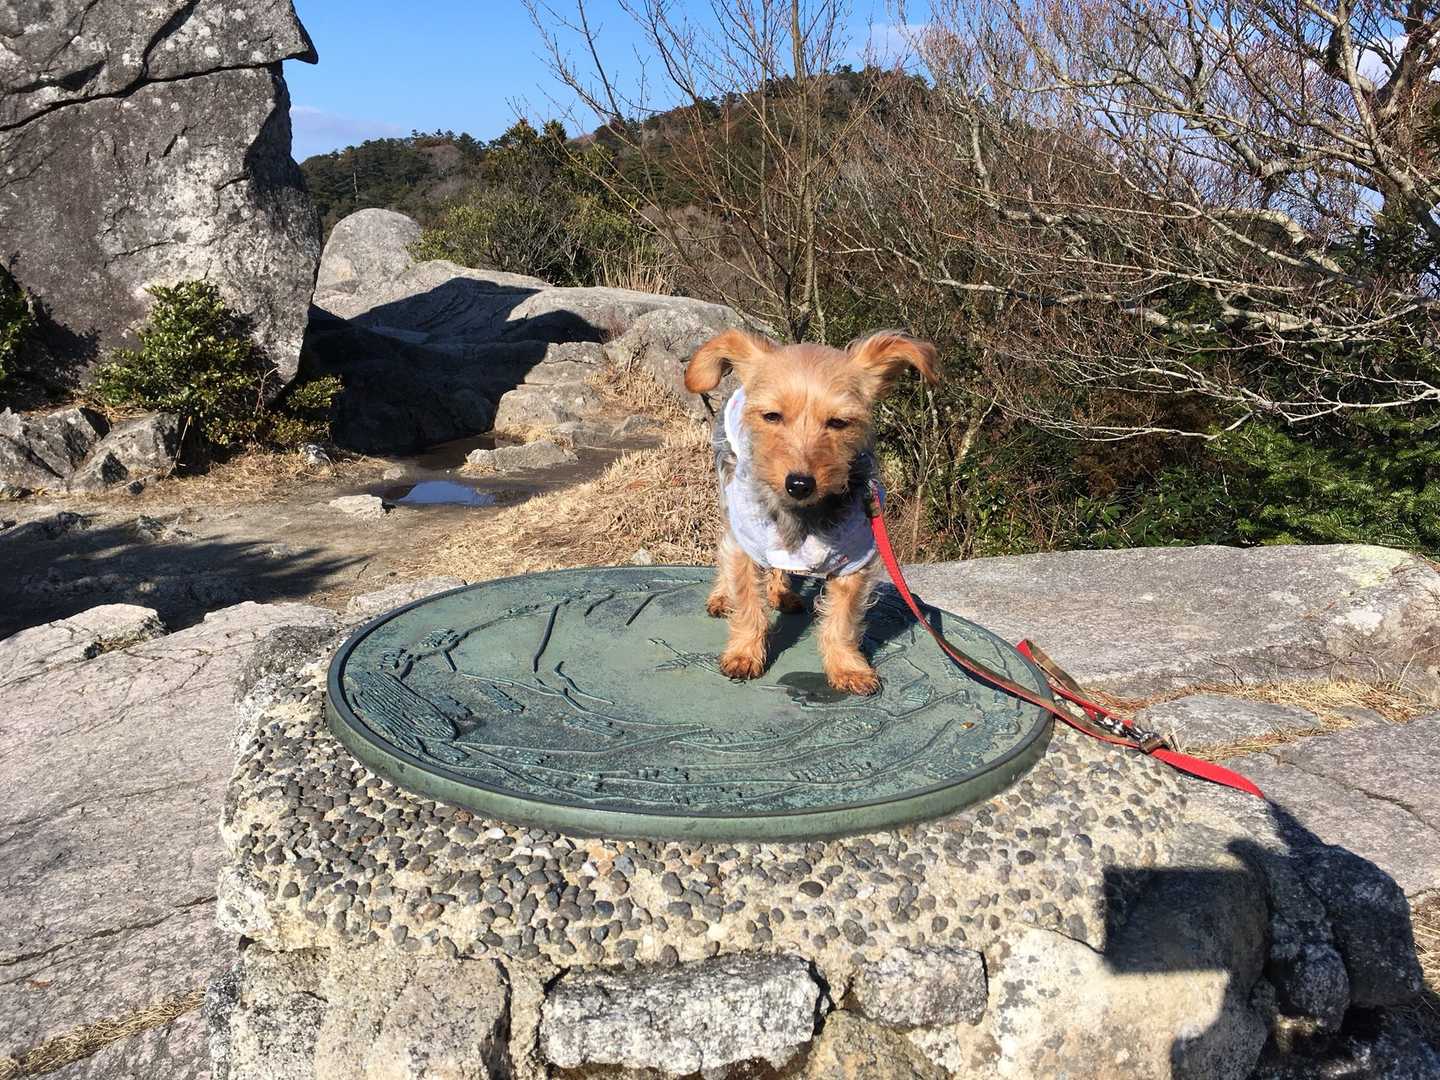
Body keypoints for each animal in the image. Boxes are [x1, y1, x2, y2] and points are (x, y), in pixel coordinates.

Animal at [684, 329, 940, 695]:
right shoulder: (745, 540)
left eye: (839, 422)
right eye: (772, 416)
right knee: (725, 544)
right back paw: (722, 595)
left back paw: (782, 593)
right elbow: (747, 601)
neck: (800, 515)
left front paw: (847, 666)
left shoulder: (855, 558)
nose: (799, 484)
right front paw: (745, 652)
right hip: (728, 492)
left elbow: (842, 620)